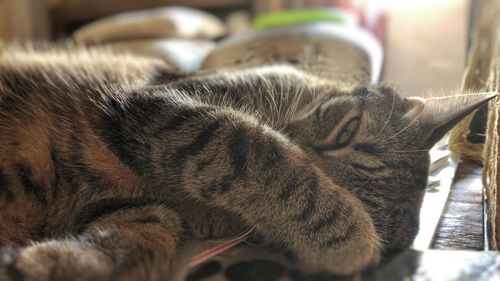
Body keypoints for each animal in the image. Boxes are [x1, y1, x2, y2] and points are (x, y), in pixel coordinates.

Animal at [0, 46, 494, 280]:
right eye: (346, 130)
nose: (297, 145)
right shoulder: (160, 104)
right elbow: (251, 148)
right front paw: (348, 237)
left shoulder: (133, 207)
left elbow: (142, 238)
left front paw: (49, 263)